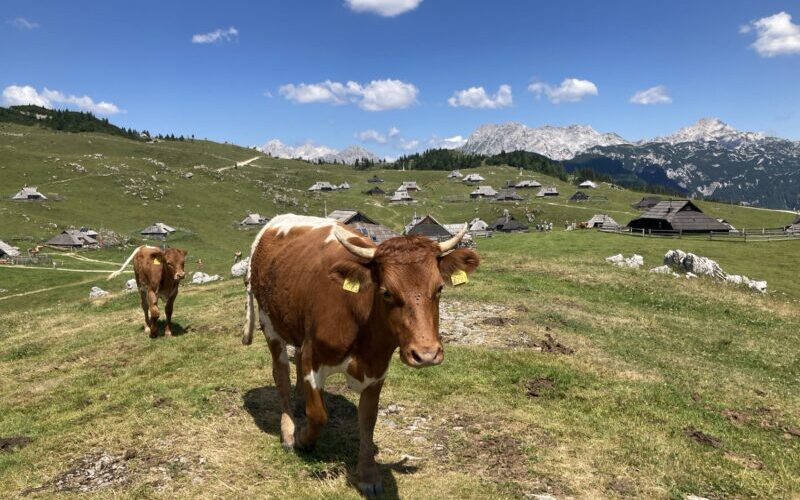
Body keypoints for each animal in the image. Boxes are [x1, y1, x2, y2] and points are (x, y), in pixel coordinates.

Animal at [242, 215, 482, 496]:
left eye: (440, 288)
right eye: (386, 292)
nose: (426, 354)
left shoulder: (376, 369)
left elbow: (368, 419)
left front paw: (368, 475)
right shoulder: (315, 357)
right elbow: (318, 413)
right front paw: (303, 439)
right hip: (270, 324)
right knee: (280, 375)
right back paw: (289, 431)